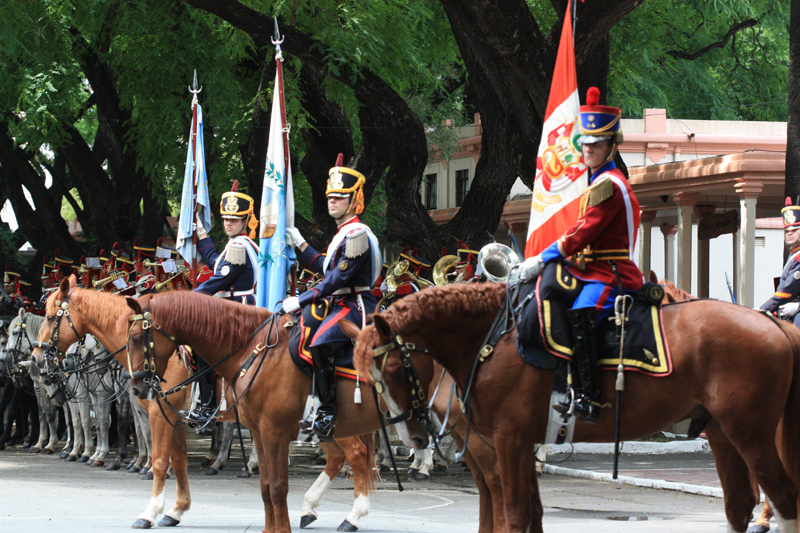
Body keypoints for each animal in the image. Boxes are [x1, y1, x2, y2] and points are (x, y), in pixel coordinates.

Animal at [32, 276, 376, 528]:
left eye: (49, 317)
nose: (36, 361)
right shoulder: (174, 417)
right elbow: (179, 460)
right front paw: (176, 509)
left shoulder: (160, 415)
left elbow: (161, 461)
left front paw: (150, 512)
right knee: (337, 458)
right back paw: (309, 508)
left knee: (356, 455)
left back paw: (352, 516)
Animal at [352, 284, 800, 532]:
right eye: (371, 377)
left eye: (393, 367)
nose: (414, 435)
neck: (492, 339)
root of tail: (772, 323)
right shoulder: (518, 443)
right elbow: (531, 515)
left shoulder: (507, 441)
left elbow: (513, 515)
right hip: (722, 433)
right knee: (739, 506)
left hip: (750, 433)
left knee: (782, 498)